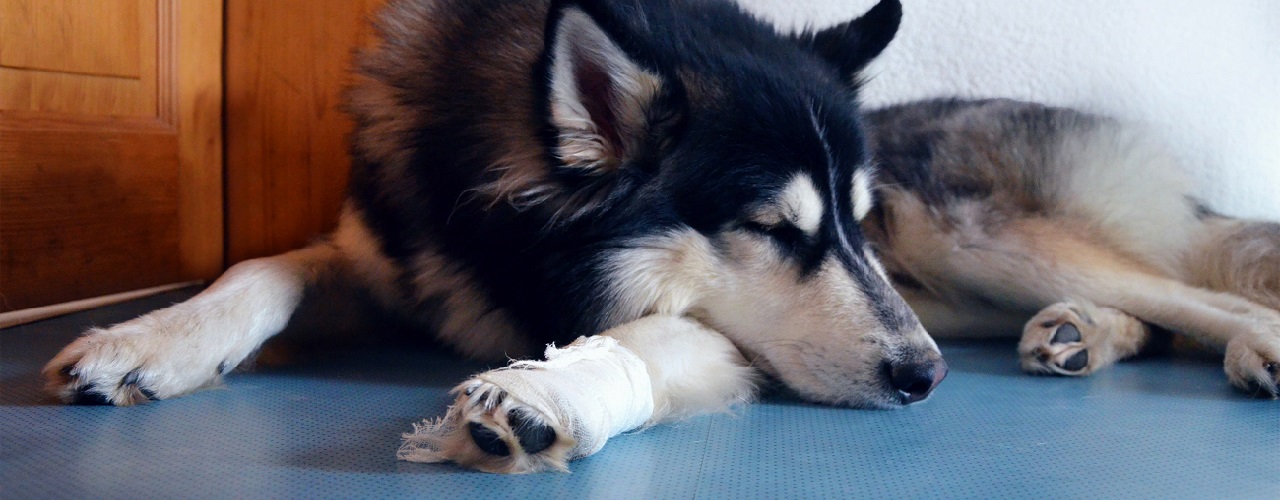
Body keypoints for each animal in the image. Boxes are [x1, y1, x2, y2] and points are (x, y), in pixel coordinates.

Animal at [42, 0, 942, 475]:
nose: (926, 374)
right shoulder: (394, 255)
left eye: (858, 222)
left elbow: (654, 334)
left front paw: (539, 393)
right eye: (770, 228)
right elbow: (263, 268)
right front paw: (148, 339)